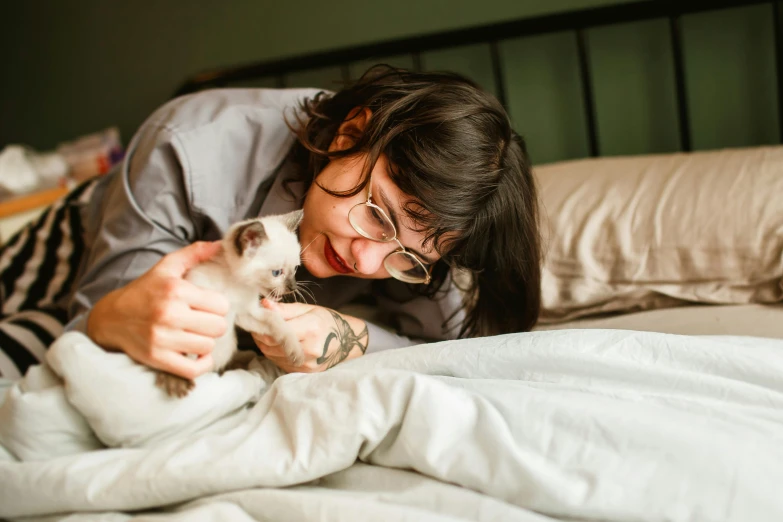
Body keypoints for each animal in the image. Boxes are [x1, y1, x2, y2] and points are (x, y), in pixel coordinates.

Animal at [157, 209, 306, 396]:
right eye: (276, 273)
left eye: (295, 269)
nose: (292, 287)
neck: (236, 285)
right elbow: (184, 347)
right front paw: (177, 376)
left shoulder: (245, 314)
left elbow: (276, 319)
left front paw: (296, 352)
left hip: (228, 345)